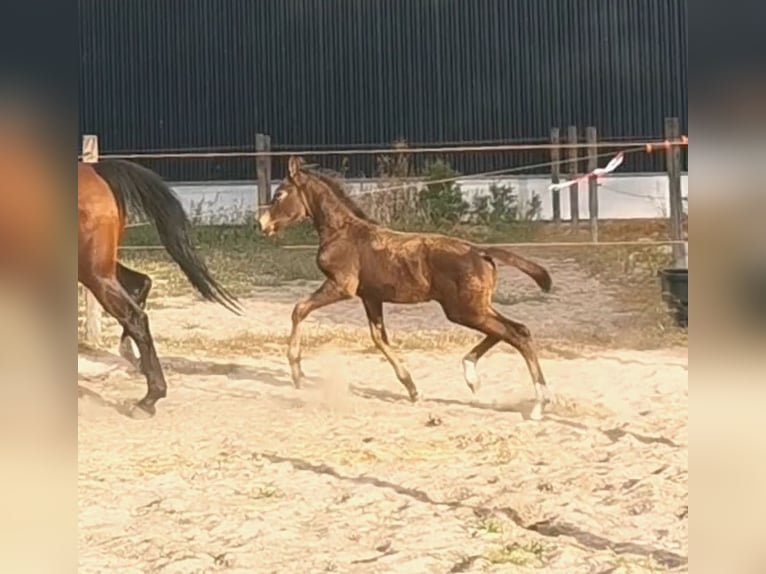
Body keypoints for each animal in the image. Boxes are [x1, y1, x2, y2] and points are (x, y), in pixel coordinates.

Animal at [79, 159, 240, 418]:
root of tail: (96, 169)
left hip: (94, 272)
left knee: (135, 316)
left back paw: (148, 399)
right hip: (100, 267)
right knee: (141, 284)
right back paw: (135, 361)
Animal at [260, 155, 560, 420]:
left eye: (279, 195)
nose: (263, 224)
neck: (341, 232)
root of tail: (480, 251)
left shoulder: (341, 286)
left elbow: (299, 309)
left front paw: (297, 372)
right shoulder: (370, 297)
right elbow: (379, 339)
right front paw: (413, 389)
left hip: (463, 310)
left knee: (515, 334)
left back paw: (538, 404)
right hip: (475, 307)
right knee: (515, 329)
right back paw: (473, 377)